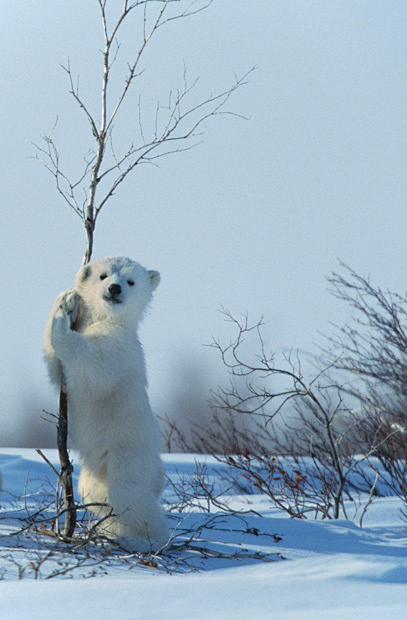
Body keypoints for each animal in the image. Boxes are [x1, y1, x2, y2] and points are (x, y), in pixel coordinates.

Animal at [44, 256, 171, 552]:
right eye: (103, 275)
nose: (115, 288)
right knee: (97, 495)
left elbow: (91, 364)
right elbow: (56, 369)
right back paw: (107, 529)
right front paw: (65, 299)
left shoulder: (119, 349)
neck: (104, 319)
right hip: (96, 470)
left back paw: (141, 540)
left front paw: (62, 314)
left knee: (130, 495)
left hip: (129, 454)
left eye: (131, 281)